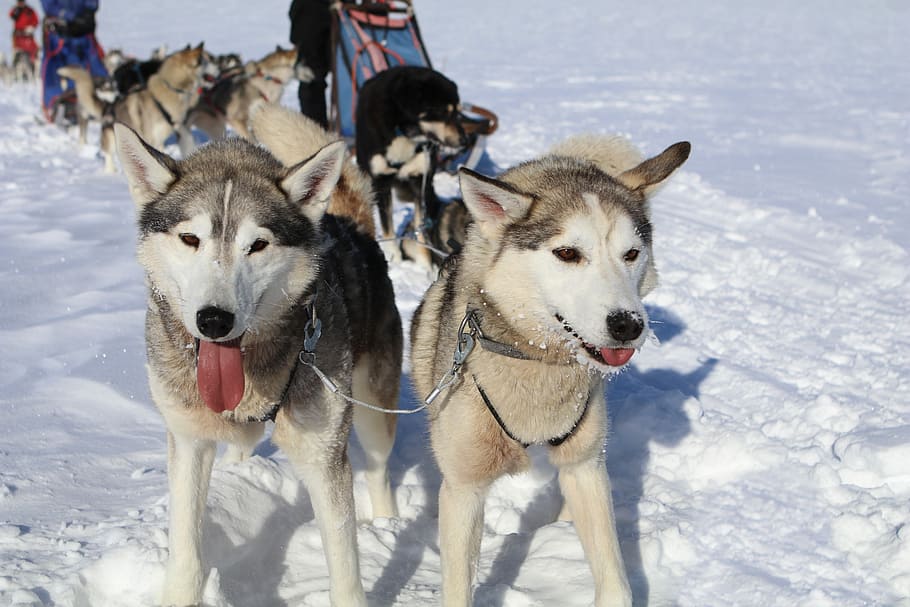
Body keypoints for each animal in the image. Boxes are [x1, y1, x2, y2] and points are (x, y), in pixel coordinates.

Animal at [114, 102, 402, 604]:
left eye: (258, 244)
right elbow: (186, 551)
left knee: (380, 470)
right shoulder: (188, 440)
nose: (214, 319)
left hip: (370, 409)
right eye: (190, 239)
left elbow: (344, 568)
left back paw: (383, 525)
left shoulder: (322, 456)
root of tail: (351, 226)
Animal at [356, 66, 470, 266]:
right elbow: (388, 227)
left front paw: (426, 265)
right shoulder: (381, 182)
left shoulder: (420, 180)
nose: (465, 141)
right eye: (444, 112)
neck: (402, 133)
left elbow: (421, 228)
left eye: (457, 112)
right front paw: (394, 257)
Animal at [412, 135, 692, 604]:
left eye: (631, 254)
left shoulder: (585, 467)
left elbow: (615, 581)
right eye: (567, 253)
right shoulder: (465, 489)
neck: (537, 362)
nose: (628, 325)